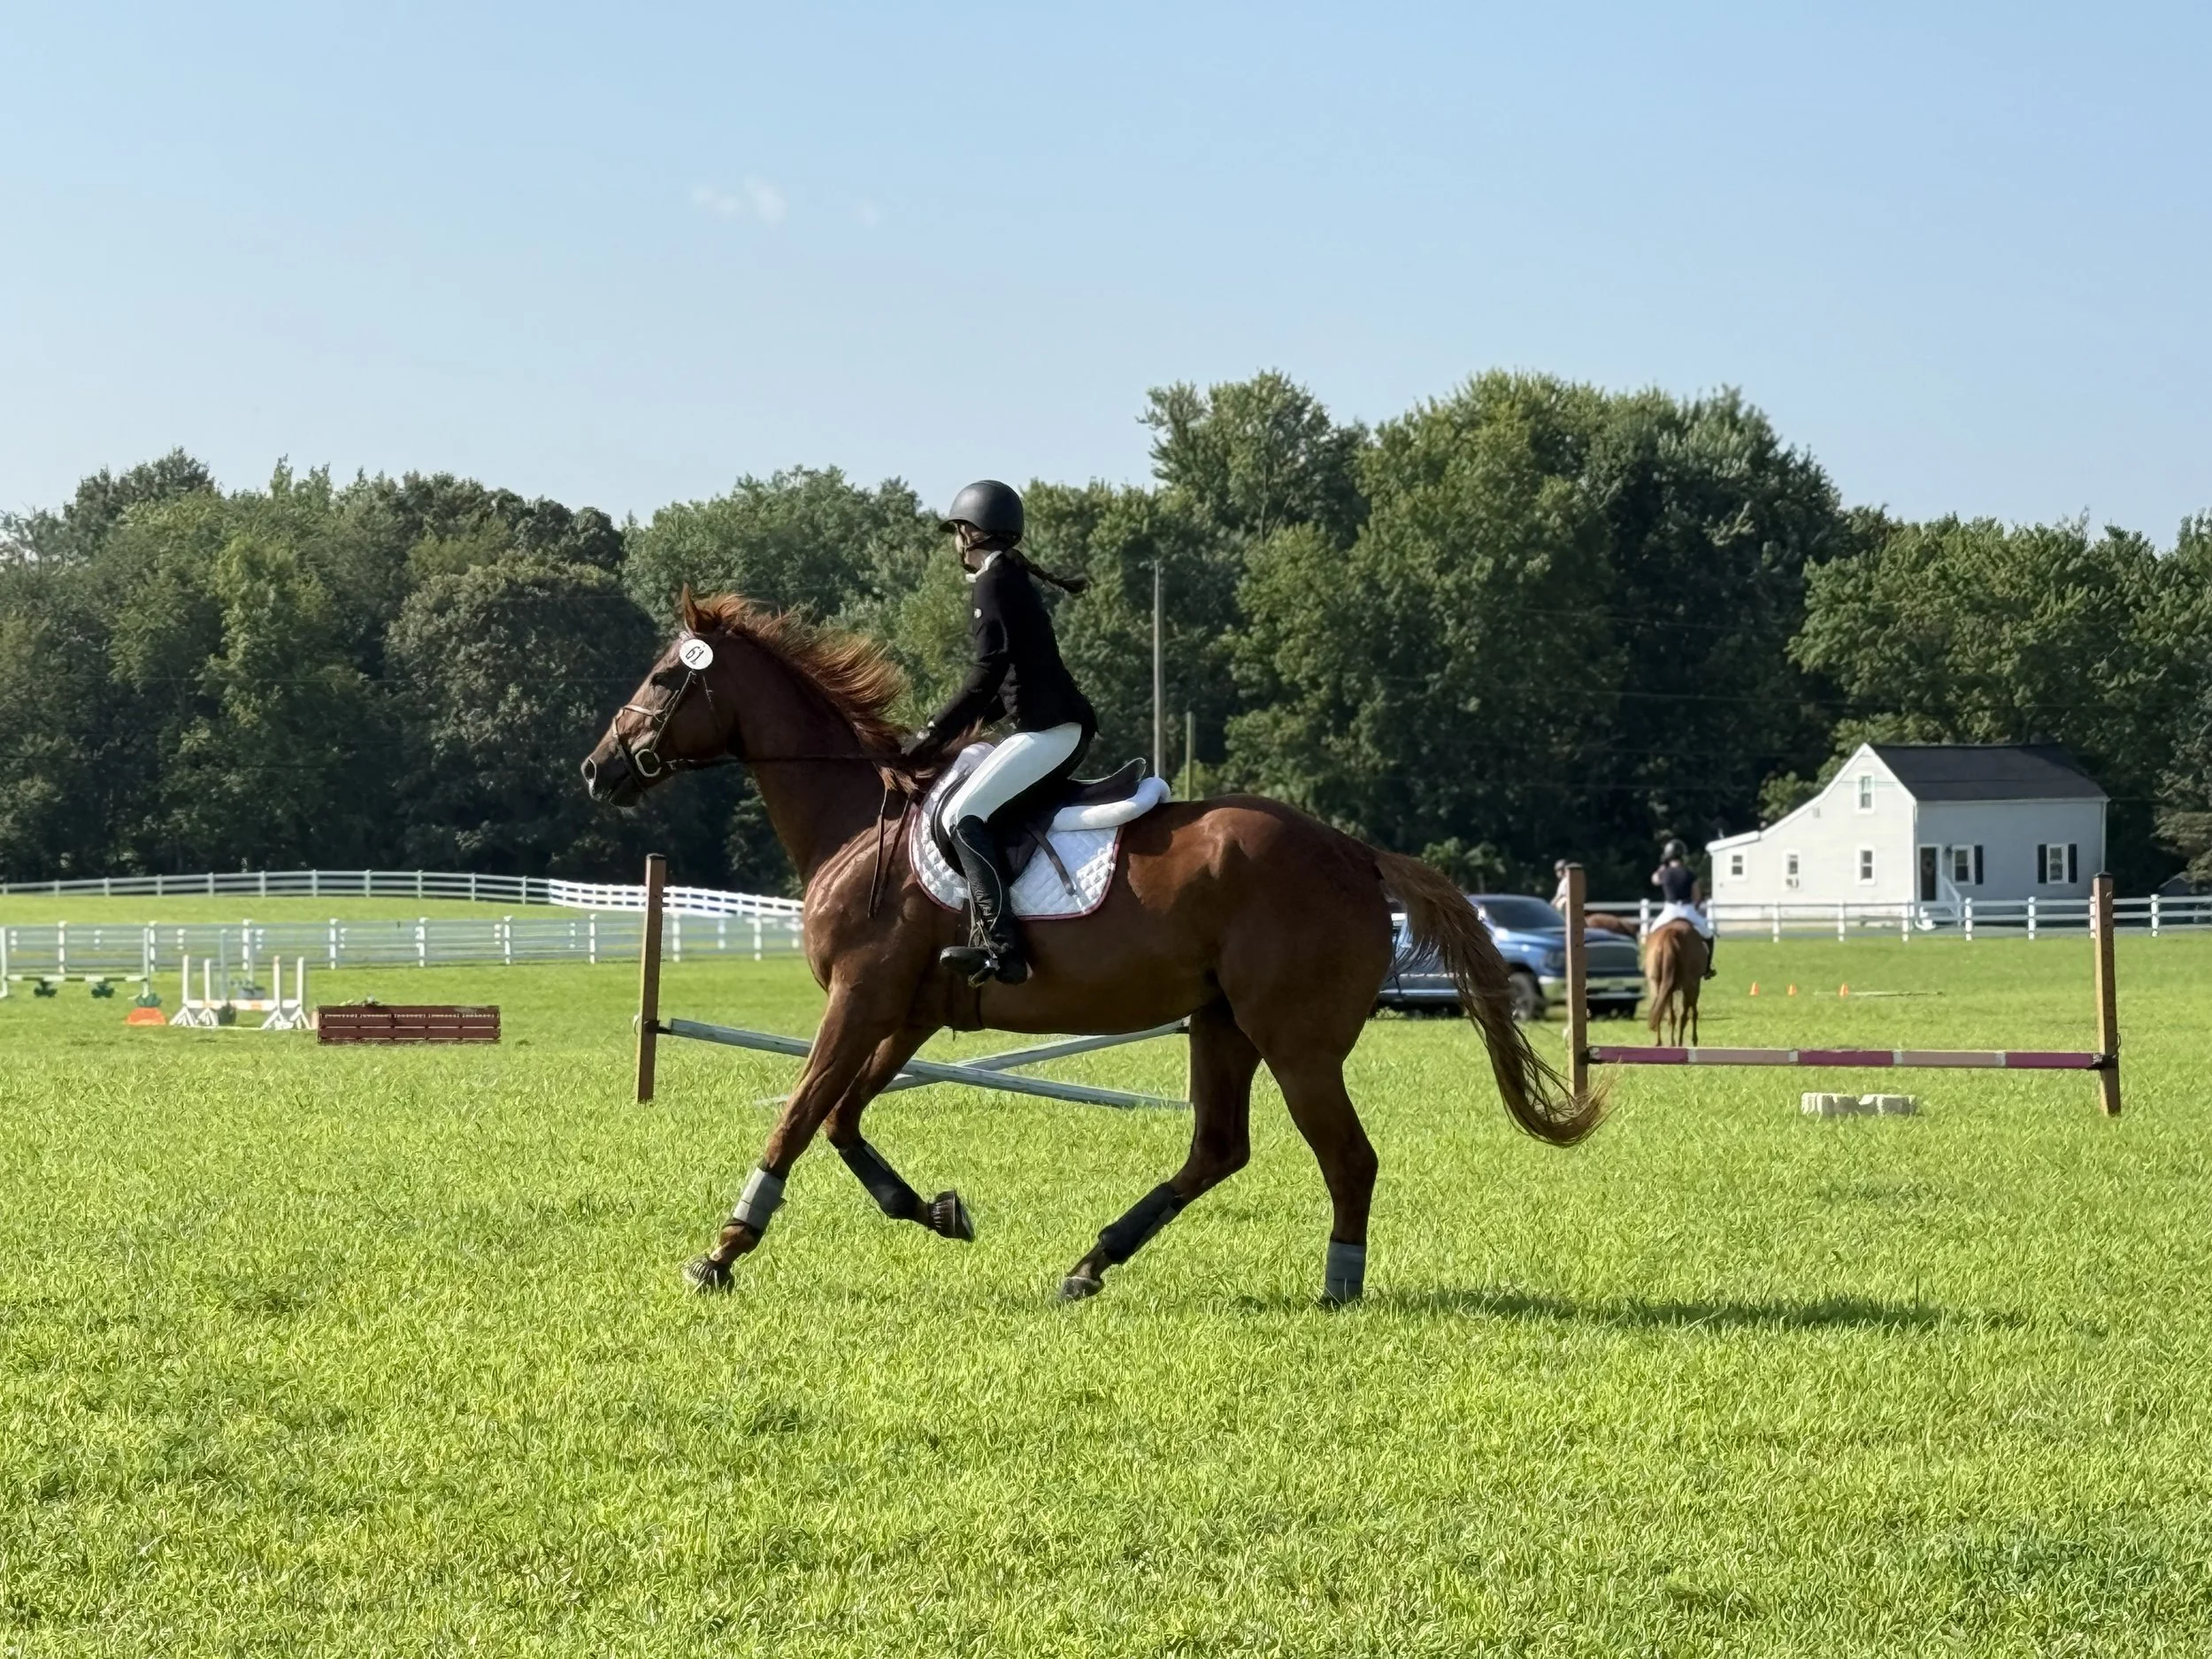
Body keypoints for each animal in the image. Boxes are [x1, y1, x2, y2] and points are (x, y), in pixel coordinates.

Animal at [580, 593, 1605, 1305]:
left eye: (665, 679)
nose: (598, 769)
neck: (851, 816)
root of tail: (1356, 852)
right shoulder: (906, 1012)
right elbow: (841, 1120)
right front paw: (937, 1211)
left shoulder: (861, 1000)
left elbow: (796, 1116)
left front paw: (722, 1250)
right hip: (1221, 1024)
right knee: (1217, 1150)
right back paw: (1091, 1263)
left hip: (1296, 1041)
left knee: (1346, 1159)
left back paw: (1337, 1284)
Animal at [1642, 920, 1708, 1046]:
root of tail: (1670, 933)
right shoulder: (1694, 985)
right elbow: (1692, 1013)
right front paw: (1694, 1040)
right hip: (1688, 985)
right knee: (1683, 1015)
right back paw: (1679, 1043)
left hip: (1656, 983)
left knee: (1662, 1010)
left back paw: (1661, 1043)